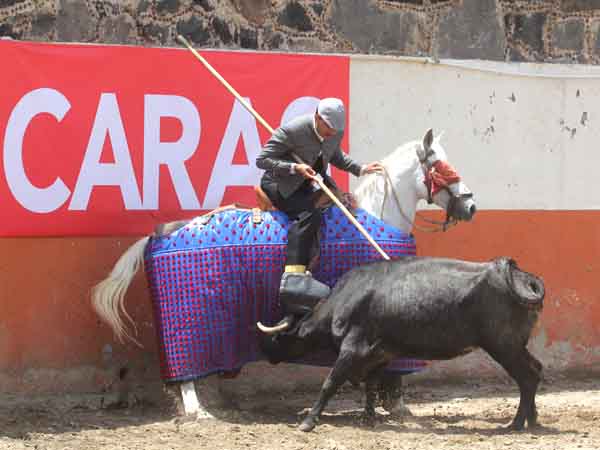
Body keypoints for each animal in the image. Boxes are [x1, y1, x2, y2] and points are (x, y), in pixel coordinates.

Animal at [91, 128, 476, 416]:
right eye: (440, 164)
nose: (470, 206)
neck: (377, 215)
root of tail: (160, 233)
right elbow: (393, 371)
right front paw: (396, 405)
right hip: (190, 323)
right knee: (186, 372)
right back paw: (199, 411)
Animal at [260, 255, 548, 430]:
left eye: (280, 335)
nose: (266, 352)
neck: (344, 299)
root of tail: (515, 273)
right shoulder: (381, 353)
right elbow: (371, 386)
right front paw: (368, 417)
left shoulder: (352, 348)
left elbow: (330, 383)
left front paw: (309, 421)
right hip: (515, 346)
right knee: (535, 371)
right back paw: (532, 420)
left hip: (503, 347)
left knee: (526, 378)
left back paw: (516, 423)